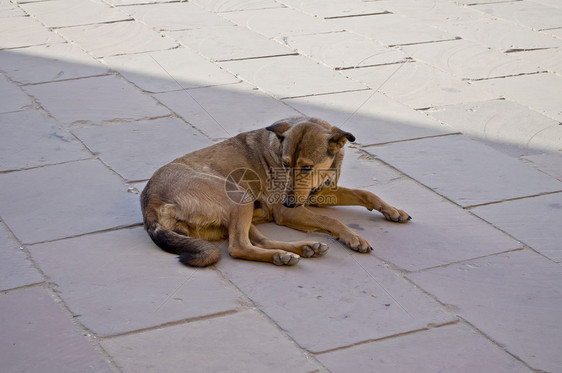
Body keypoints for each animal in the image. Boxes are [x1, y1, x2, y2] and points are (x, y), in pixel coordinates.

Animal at [140, 116, 412, 264]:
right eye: (285, 164)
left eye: (306, 167)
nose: (289, 202)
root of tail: (150, 201)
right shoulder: (291, 211)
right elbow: (331, 220)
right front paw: (353, 237)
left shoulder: (317, 195)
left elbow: (365, 193)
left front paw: (392, 211)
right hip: (239, 196)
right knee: (238, 247)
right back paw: (283, 255)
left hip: (240, 209)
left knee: (257, 240)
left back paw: (298, 250)